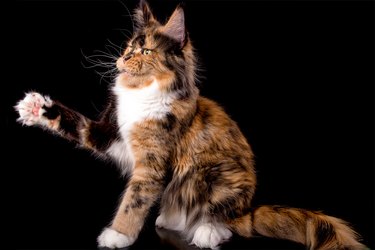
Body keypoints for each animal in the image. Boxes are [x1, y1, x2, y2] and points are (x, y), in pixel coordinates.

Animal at [13, 0, 364, 249]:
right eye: (128, 47)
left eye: (145, 50)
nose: (123, 59)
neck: (143, 92)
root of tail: (248, 207)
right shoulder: (110, 134)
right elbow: (77, 124)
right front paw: (35, 107)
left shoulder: (152, 165)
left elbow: (133, 201)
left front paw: (118, 235)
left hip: (213, 177)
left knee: (227, 222)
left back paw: (206, 232)